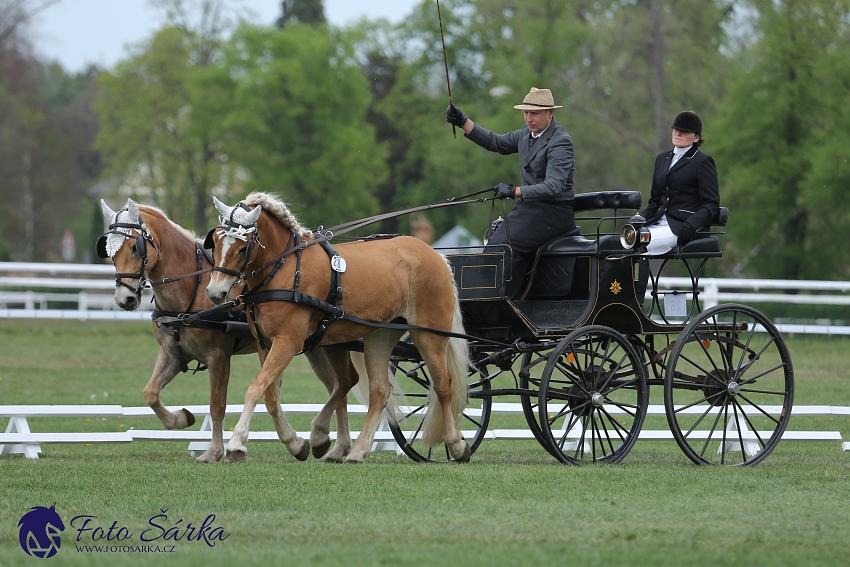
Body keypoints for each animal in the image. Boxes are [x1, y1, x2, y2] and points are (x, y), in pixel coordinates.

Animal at [99, 201, 358, 466]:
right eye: (108, 249)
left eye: (134, 247)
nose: (125, 299)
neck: (192, 287)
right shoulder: (172, 353)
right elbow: (150, 393)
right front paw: (181, 418)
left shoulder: (218, 356)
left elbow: (217, 406)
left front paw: (215, 451)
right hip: (315, 347)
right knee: (339, 389)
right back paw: (337, 446)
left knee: (342, 387)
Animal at [205, 193, 470, 464]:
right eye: (214, 242)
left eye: (242, 248)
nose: (215, 293)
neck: (285, 268)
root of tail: (435, 254)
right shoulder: (264, 343)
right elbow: (270, 396)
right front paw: (296, 444)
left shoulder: (288, 341)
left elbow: (255, 388)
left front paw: (237, 444)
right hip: (380, 336)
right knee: (378, 391)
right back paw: (357, 450)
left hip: (429, 334)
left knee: (443, 385)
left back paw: (456, 444)